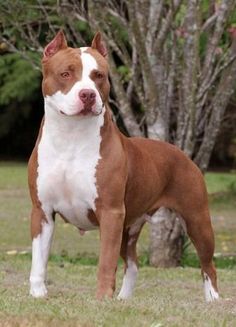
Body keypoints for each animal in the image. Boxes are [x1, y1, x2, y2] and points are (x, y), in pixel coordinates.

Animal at [28, 30, 219, 302]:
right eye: (66, 73)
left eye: (98, 75)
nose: (88, 94)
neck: (71, 137)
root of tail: (182, 153)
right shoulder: (42, 211)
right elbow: (39, 259)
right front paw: (37, 293)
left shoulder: (110, 212)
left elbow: (106, 262)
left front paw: (101, 299)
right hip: (130, 226)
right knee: (133, 264)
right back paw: (124, 299)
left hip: (197, 219)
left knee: (207, 264)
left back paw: (213, 298)